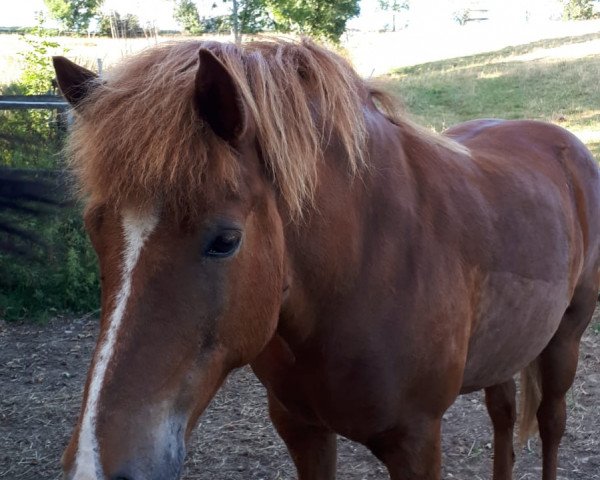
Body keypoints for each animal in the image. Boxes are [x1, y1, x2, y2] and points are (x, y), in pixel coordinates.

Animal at [52, 38, 600, 480]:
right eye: (96, 230)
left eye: (225, 240)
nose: (94, 466)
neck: (363, 267)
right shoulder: (302, 430)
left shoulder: (417, 442)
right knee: (503, 414)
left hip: (564, 340)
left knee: (550, 422)